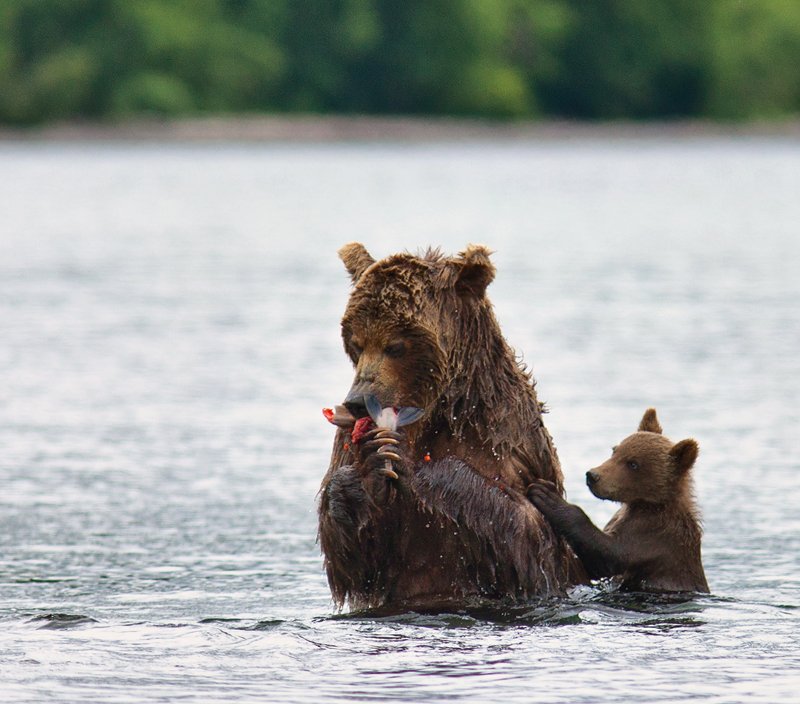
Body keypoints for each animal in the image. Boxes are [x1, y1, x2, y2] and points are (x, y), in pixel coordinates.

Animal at [318, 243, 580, 612]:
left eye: (395, 345)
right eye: (356, 342)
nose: (358, 401)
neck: (434, 413)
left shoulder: (506, 438)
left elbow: (529, 534)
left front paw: (408, 461)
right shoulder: (345, 438)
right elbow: (353, 558)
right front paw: (368, 468)